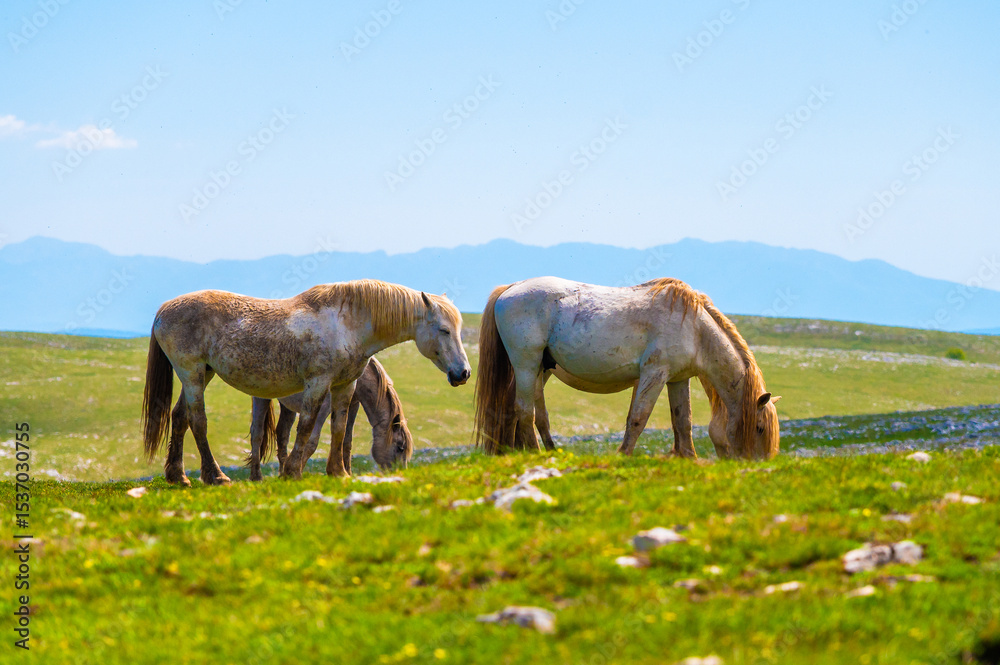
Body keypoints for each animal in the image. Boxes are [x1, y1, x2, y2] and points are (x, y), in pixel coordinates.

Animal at [246, 356, 412, 481]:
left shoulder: (352, 405)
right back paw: (256, 478)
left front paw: (346, 472)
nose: (399, 473)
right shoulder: (322, 407)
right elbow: (312, 442)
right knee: (257, 434)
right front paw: (296, 473)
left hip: (287, 407)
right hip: (261, 398)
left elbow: (346, 441)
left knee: (282, 435)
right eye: (400, 447)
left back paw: (280, 473)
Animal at [474, 277, 780, 460]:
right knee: (524, 411)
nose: (758, 465)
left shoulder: (677, 380)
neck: (694, 327)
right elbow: (638, 418)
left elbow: (683, 422)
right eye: (760, 428)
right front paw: (623, 455)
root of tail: (510, 289)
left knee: (534, 415)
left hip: (540, 369)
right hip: (526, 365)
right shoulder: (655, 375)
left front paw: (689, 459)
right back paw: (537, 454)